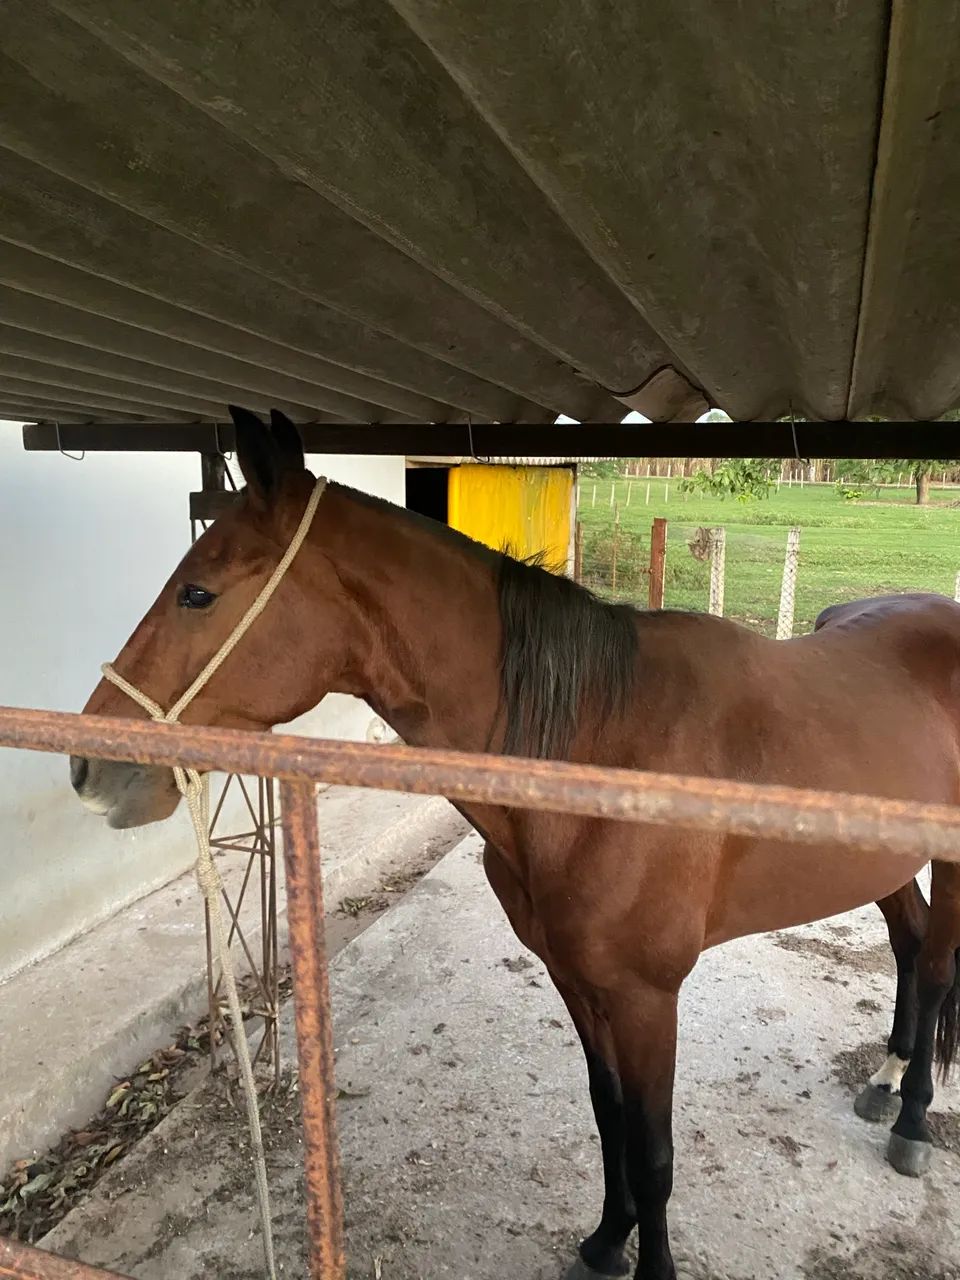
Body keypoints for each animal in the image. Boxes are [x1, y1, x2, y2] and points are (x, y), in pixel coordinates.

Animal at [69, 406, 960, 1280]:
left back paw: (913, 1119)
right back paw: (884, 1078)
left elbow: (654, 1152)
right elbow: (608, 1117)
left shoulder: (647, 997)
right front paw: (606, 1241)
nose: (89, 766)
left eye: (198, 592)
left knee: (938, 966)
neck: (599, 750)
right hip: (877, 865)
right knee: (910, 941)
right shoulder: (574, 976)